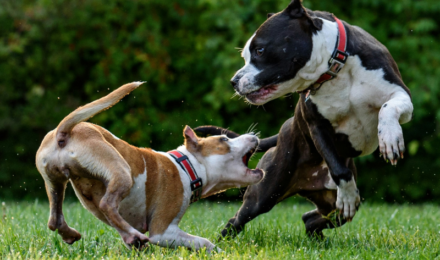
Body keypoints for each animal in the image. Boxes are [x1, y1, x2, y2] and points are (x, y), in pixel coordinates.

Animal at [36, 82, 262, 251]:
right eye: (224, 139)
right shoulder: (163, 231)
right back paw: (133, 234)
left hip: (54, 182)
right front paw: (218, 252)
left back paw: (76, 234)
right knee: (107, 204)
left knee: (55, 219)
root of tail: (63, 133)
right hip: (121, 171)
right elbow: (203, 242)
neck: (187, 166)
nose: (253, 135)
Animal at [196, 0, 412, 237]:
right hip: (264, 193)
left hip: (329, 206)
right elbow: (339, 169)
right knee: (237, 220)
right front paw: (347, 194)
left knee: (311, 218)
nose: (234, 81)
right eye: (245, 55)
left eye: (260, 50)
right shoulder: (316, 126)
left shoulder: (401, 94)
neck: (335, 68)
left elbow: (387, 108)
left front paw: (390, 138)